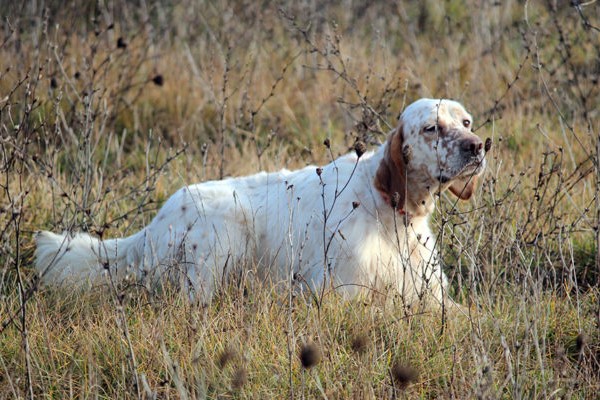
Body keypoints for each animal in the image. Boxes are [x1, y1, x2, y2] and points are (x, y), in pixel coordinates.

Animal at [35, 97, 486, 306]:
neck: (391, 211)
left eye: (466, 122)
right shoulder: (341, 292)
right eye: (431, 128)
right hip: (221, 241)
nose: (478, 147)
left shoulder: (435, 295)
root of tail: (152, 226)